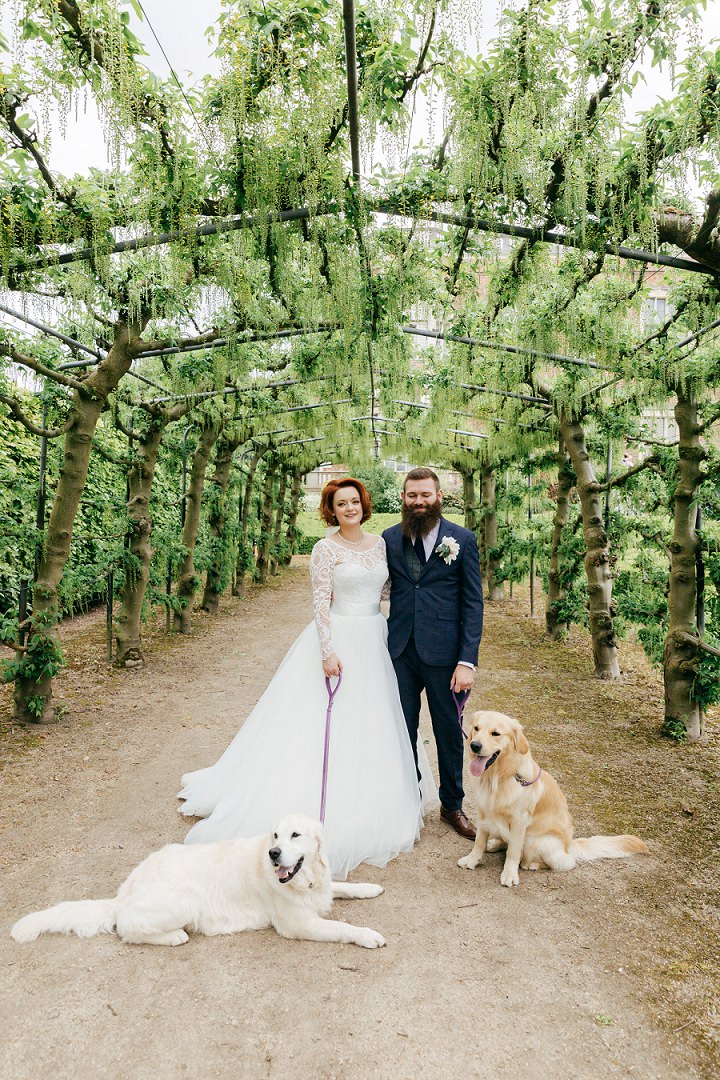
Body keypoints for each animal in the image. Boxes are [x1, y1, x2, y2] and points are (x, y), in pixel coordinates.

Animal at [11, 812, 386, 950]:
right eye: (275, 835)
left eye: (295, 835)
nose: (274, 853)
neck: (303, 881)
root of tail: (123, 893)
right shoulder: (298, 924)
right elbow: (341, 927)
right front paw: (368, 935)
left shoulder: (321, 888)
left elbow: (341, 886)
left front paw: (370, 888)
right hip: (182, 902)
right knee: (127, 928)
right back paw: (174, 936)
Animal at [459, 708, 651, 885]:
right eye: (476, 728)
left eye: (496, 733)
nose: (474, 745)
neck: (499, 777)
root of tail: (569, 845)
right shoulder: (483, 811)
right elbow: (479, 840)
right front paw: (472, 860)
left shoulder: (520, 820)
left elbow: (513, 851)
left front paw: (509, 874)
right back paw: (494, 844)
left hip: (535, 840)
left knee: (563, 862)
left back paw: (531, 864)